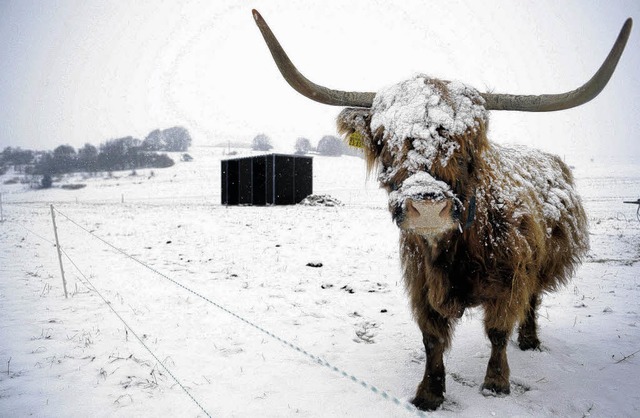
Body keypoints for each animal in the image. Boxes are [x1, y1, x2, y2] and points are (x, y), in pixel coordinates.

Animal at [252, 10, 632, 412]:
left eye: (470, 142)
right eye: (384, 141)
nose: (428, 206)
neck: (456, 249)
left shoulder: (512, 278)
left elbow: (498, 331)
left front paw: (496, 384)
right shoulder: (421, 284)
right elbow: (432, 339)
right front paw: (429, 393)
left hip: (542, 262)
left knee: (533, 299)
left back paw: (529, 340)